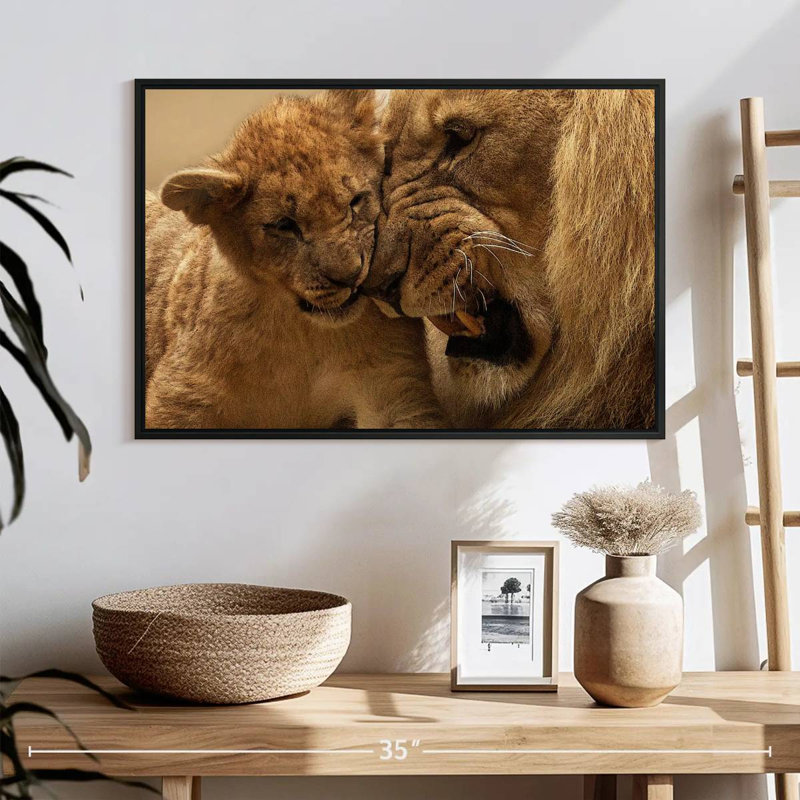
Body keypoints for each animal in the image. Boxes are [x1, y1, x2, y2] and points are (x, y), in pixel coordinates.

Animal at [145, 89, 443, 430]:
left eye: (356, 201)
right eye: (284, 225)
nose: (351, 276)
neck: (302, 332)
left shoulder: (392, 386)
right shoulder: (184, 396)